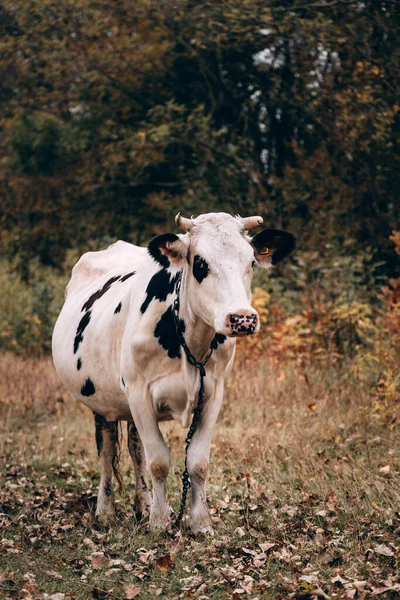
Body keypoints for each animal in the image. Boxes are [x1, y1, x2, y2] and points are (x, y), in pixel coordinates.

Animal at [51, 213, 296, 532]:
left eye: (251, 262)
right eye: (200, 262)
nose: (242, 319)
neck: (190, 341)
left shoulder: (213, 393)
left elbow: (197, 462)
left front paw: (199, 522)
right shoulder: (139, 392)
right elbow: (158, 462)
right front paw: (159, 523)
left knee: (134, 447)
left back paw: (144, 504)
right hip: (99, 397)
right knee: (107, 449)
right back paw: (105, 511)